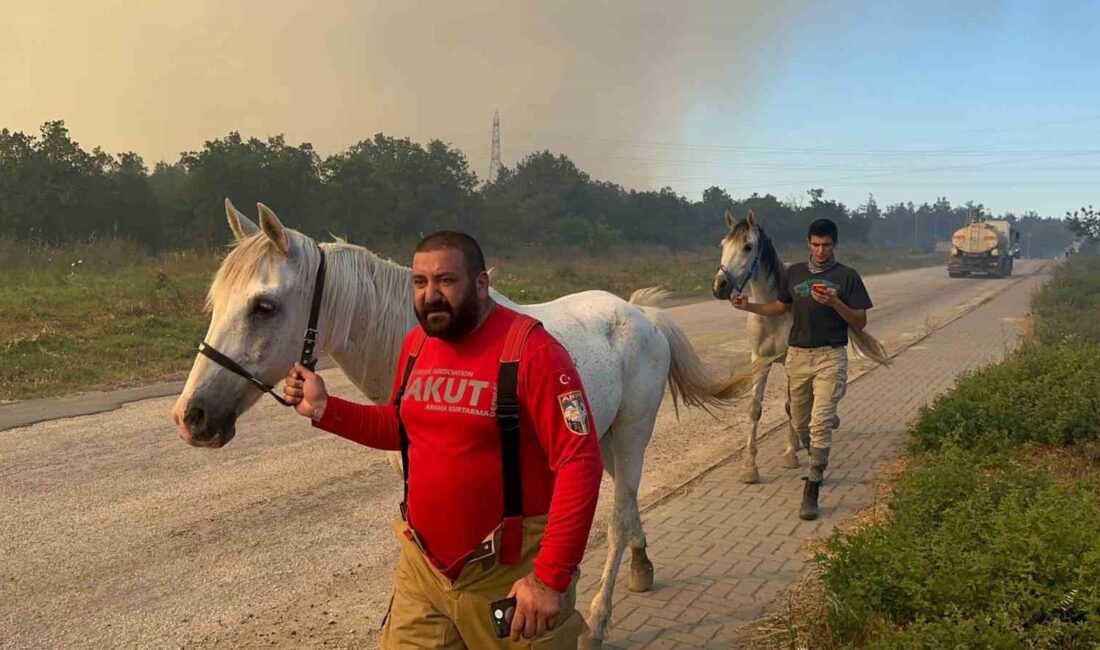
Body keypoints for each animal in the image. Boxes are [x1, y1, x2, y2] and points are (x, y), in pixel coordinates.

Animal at [708, 211, 888, 486]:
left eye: (748, 246)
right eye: (722, 245)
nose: (720, 286)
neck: (773, 315)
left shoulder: (791, 362)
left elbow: (791, 406)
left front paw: (790, 454)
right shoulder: (759, 361)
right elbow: (755, 410)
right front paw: (749, 468)